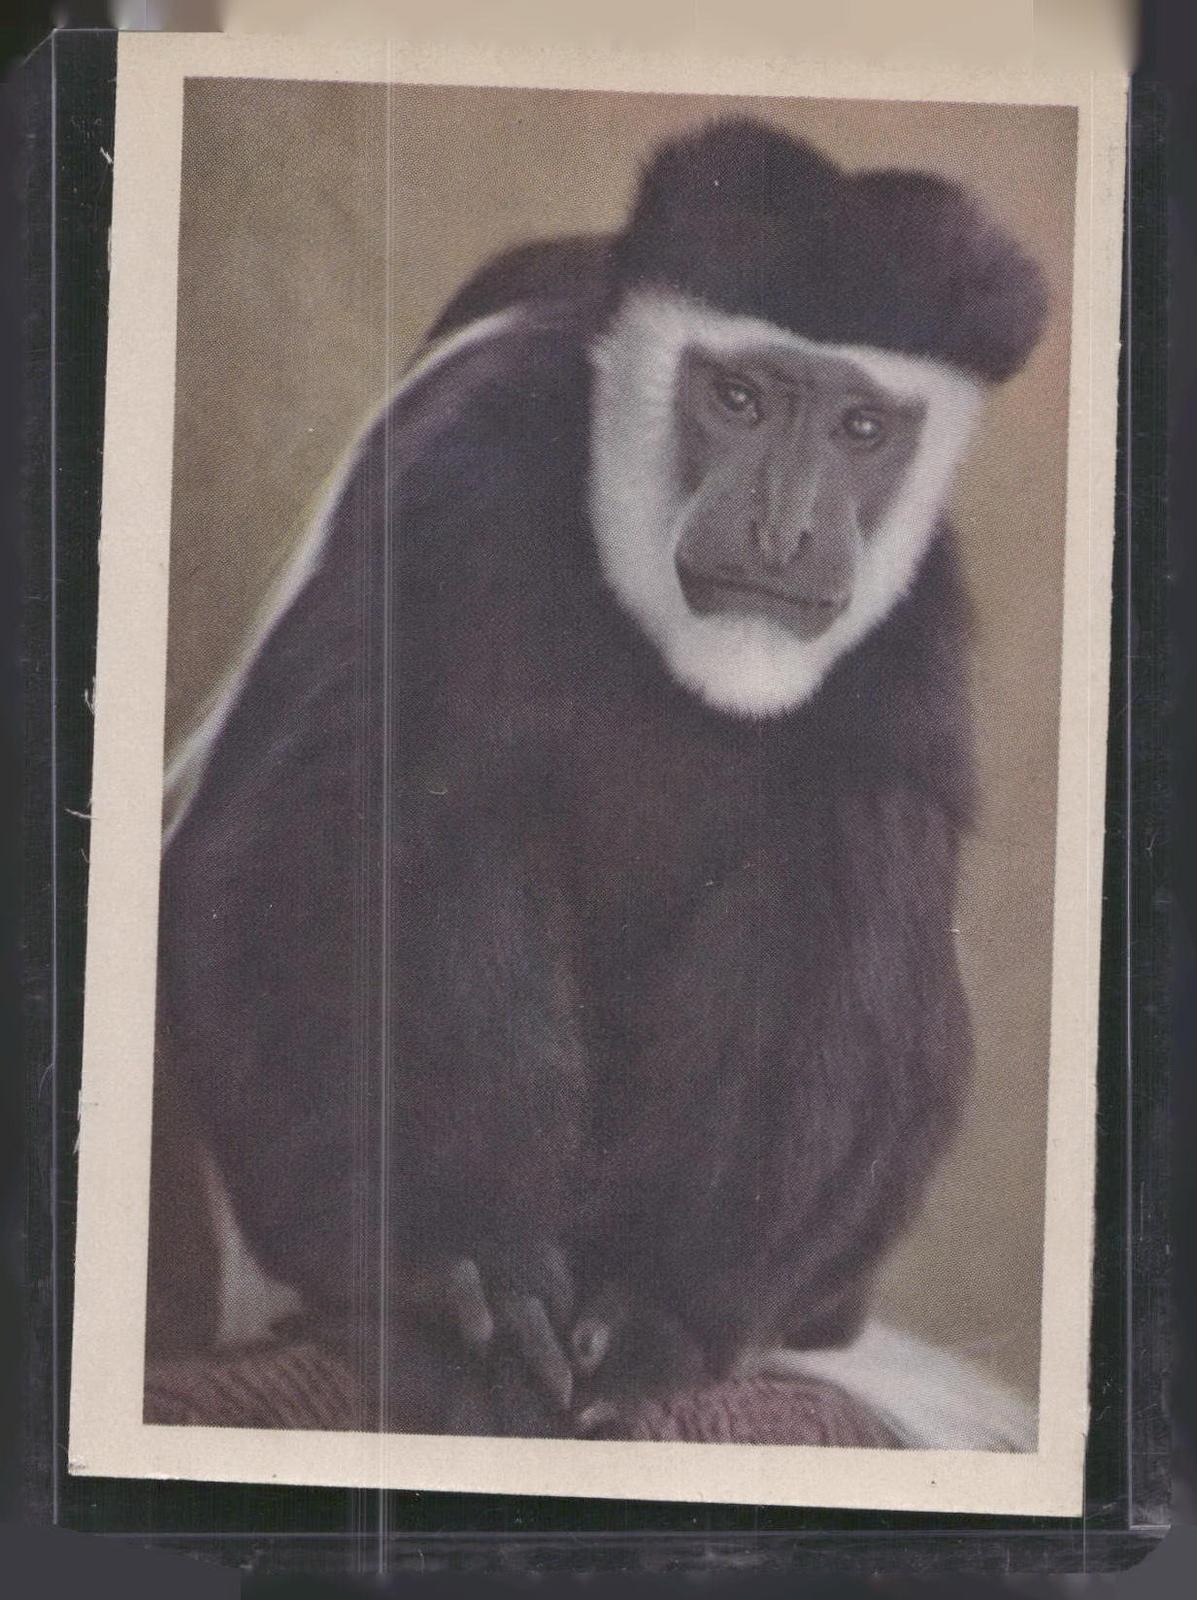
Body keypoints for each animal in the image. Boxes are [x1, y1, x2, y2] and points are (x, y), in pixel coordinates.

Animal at [151, 118, 1047, 1441]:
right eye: (737, 398)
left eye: (861, 430)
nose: (784, 533)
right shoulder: (457, 473)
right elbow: (292, 848)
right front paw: (457, 1270)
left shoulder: (913, 617)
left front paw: (654, 1317)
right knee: (441, 809)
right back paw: (467, 1302)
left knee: (848, 844)